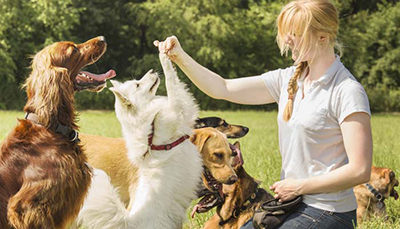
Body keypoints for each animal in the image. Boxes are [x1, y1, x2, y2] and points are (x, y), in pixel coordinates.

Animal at [78, 54, 203, 229]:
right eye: (138, 84)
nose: (151, 70)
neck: (151, 123)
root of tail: (129, 221)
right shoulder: (179, 110)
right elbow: (172, 81)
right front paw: (164, 57)